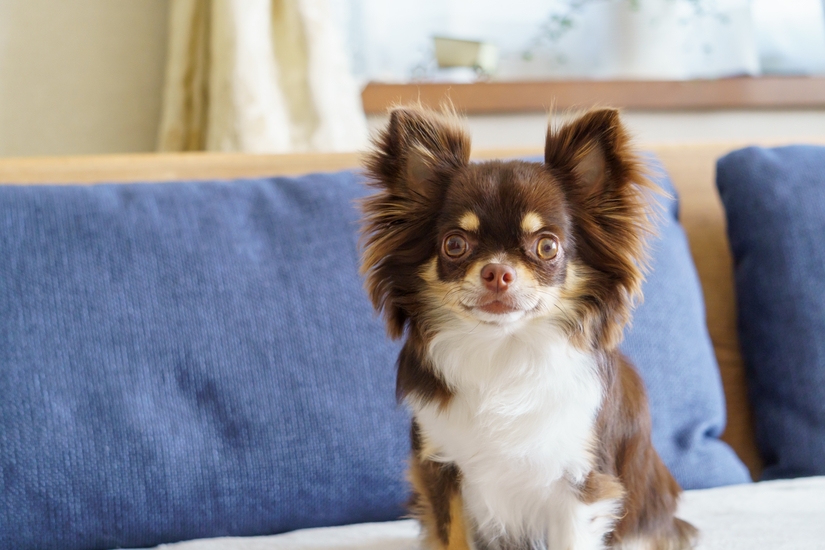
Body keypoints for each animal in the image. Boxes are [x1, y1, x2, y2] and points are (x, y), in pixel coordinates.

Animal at [358, 108, 696, 550]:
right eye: (454, 245)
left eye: (547, 246)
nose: (497, 271)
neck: (503, 349)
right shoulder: (441, 472)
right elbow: (452, 537)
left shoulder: (581, 483)